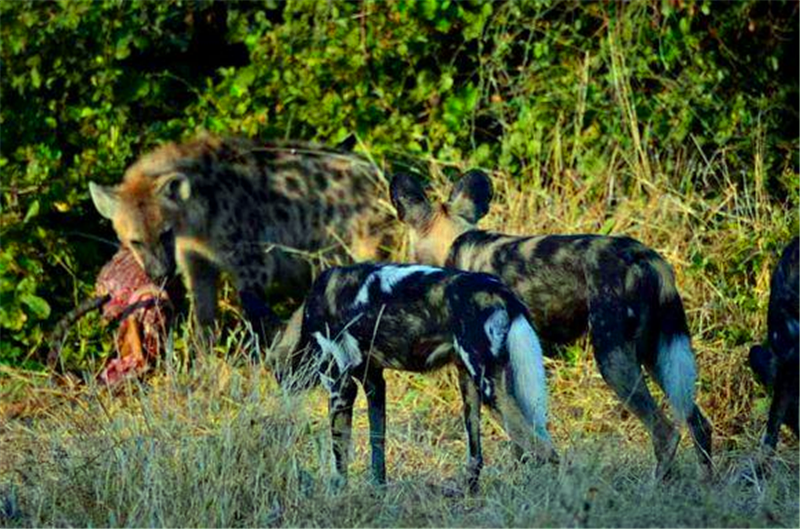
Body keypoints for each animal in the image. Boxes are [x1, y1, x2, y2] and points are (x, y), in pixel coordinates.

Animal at [89, 134, 396, 344]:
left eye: (164, 232)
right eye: (135, 241)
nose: (160, 273)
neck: (196, 222)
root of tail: (382, 176)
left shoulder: (252, 259)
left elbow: (255, 311)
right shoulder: (195, 260)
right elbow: (203, 312)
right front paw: (205, 362)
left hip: (366, 238)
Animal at [268, 262, 556, 490]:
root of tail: (502, 293)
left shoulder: (341, 386)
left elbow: (339, 455)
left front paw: (337, 494)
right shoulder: (374, 383)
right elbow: (377, 444)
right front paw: (378, 491)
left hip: (490, 391)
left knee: (546, 451)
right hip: (473, 390)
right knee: (483, 455)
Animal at [392, 169, 712, 478]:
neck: (455, 244)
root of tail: (648, 258)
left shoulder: (484, 375)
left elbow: (506, 442)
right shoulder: (489, 371)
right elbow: (502, 445)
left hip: (613, 359)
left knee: (665, 433)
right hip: (656, 356)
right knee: (698, 423)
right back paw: (704, 483)